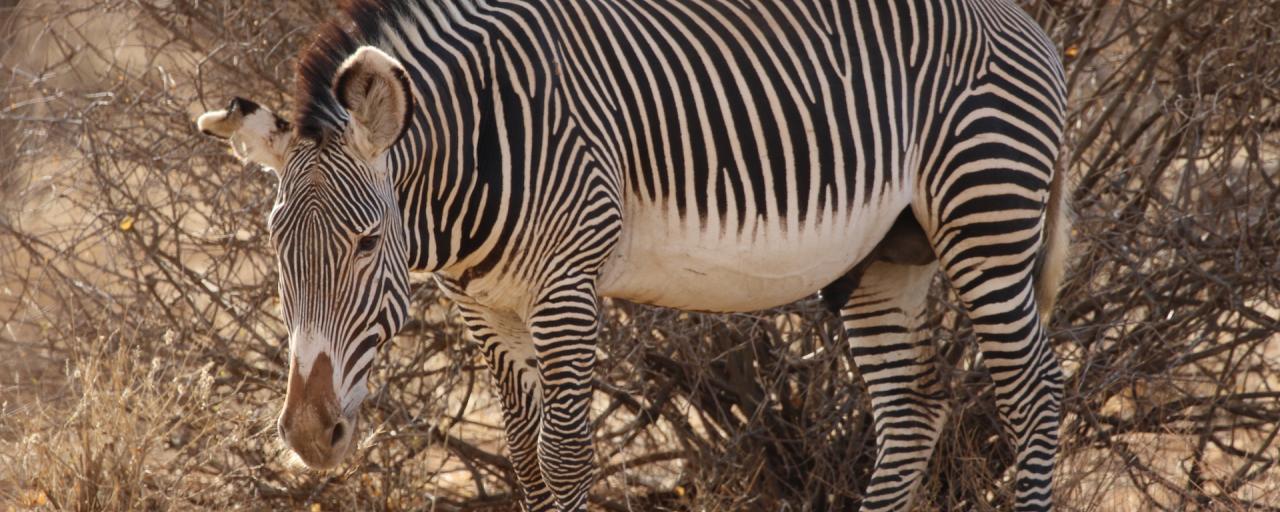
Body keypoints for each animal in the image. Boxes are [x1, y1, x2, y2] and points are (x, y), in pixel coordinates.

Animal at [197, 1, 1070, 506]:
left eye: (368, 243)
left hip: (986, 215)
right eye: (276, 250)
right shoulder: (486, 309)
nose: (309, 437)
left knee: (1033, 393)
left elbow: (566, 456)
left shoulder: (567, 287)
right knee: (912, 411)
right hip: (887, 256)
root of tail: (1027, 23)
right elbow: (526, 459)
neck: (481, 147)